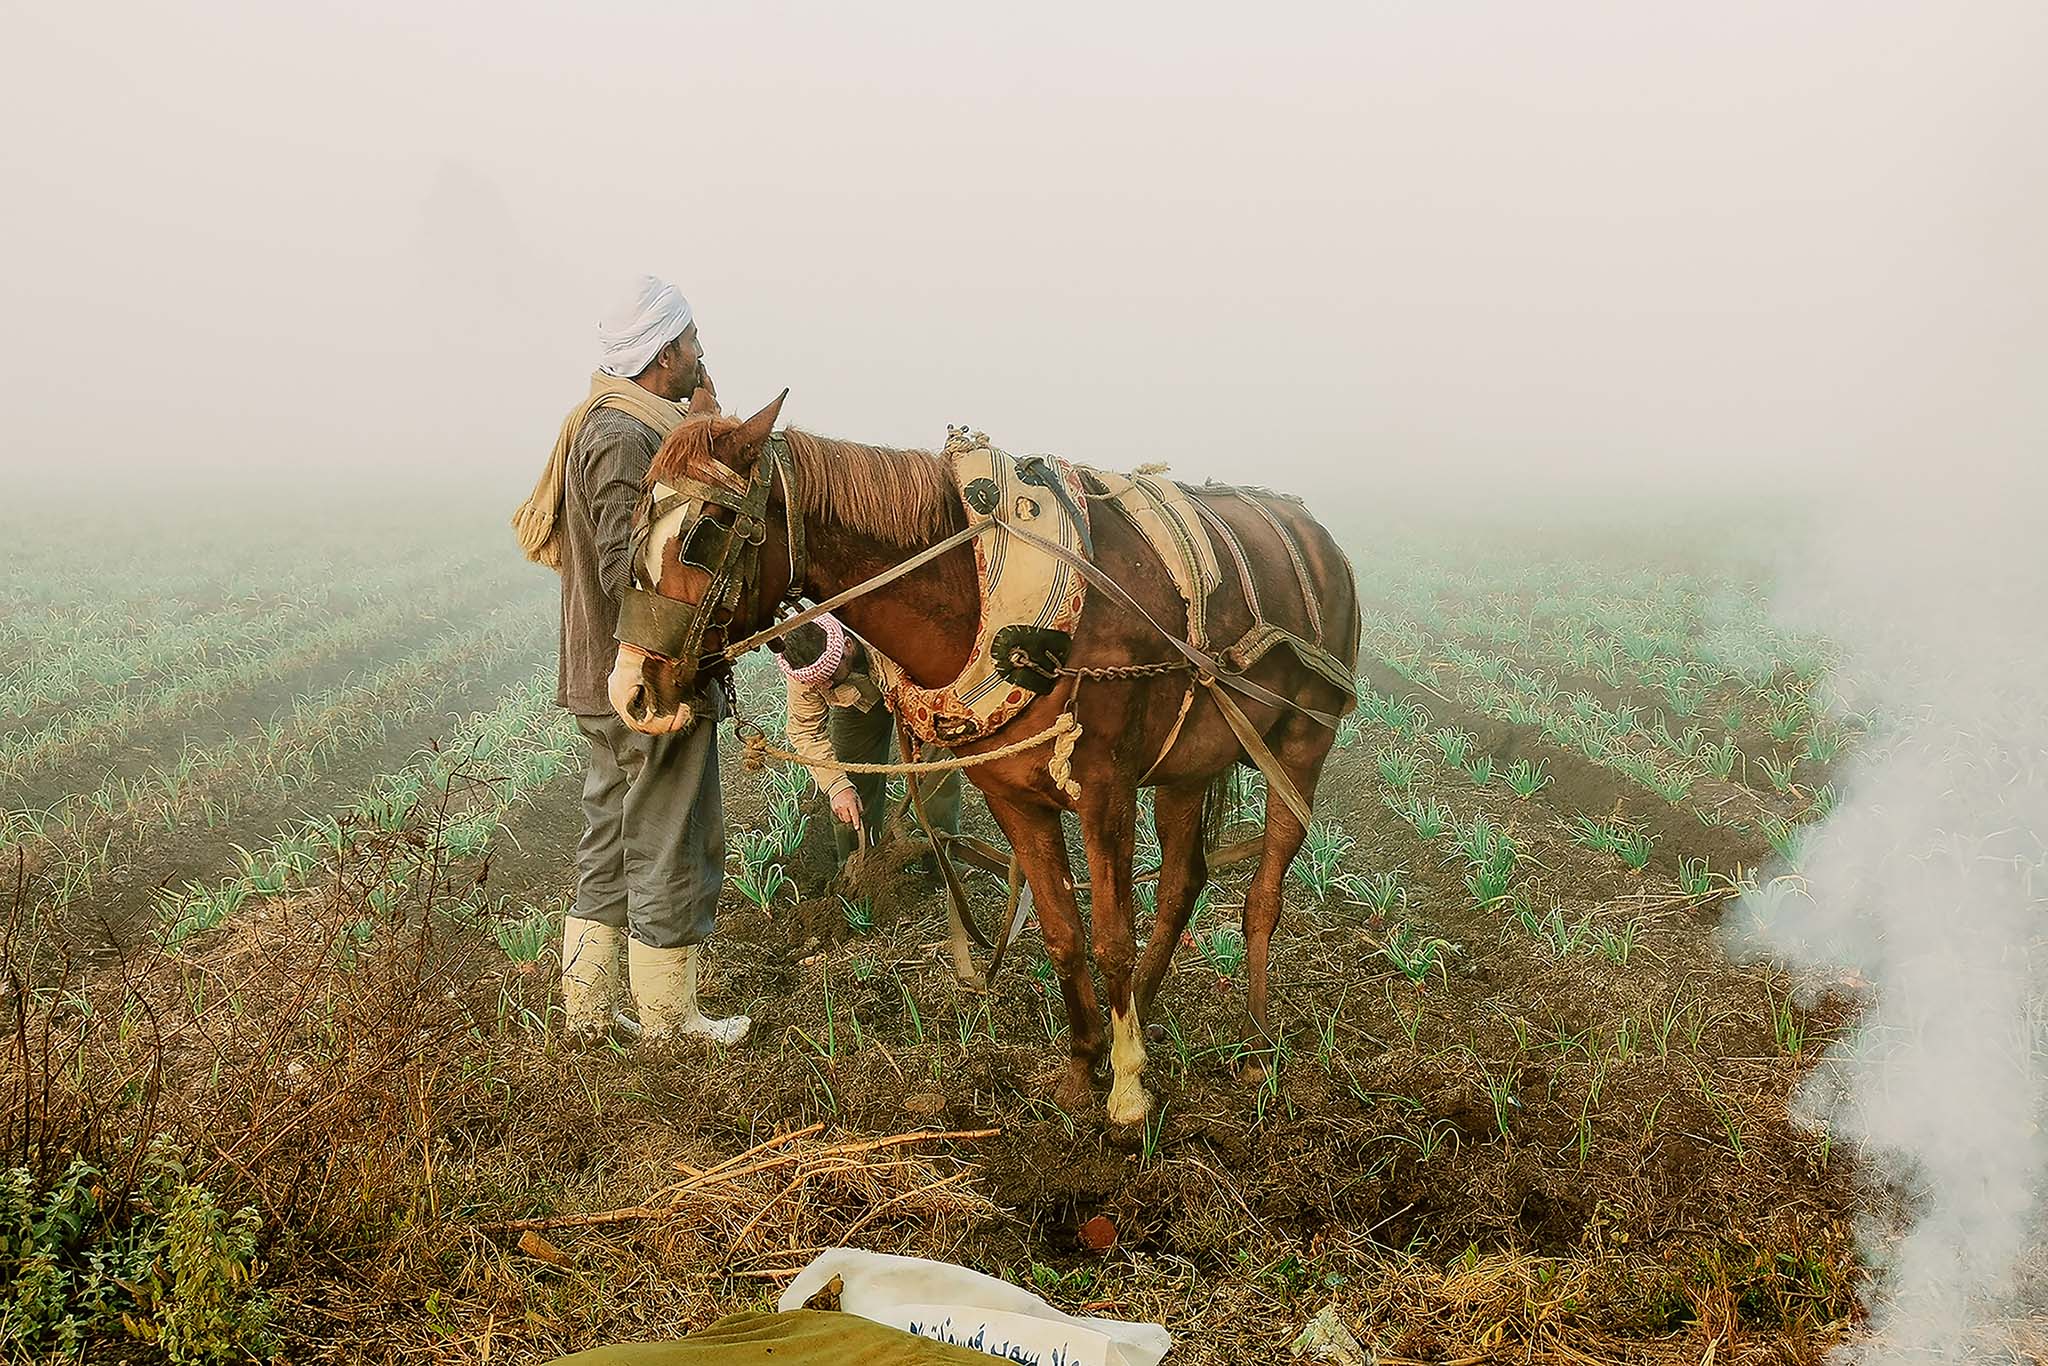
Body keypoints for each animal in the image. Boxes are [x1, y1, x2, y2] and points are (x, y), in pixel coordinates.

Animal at [606, 389, 1359, 1130]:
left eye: (705, 530)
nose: (632, 691)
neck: (982, 596)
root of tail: (1320, 535)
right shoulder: (1012, 797)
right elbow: (1061, 932)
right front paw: (1085, 1069)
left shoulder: (1105, 789)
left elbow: (1111, 936)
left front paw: (1126, 1095)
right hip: (1188, 765)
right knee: (1181, 884)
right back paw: (1146, 1013)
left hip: (1302, 743)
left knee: (1264, 892)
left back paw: (1256, 1043)